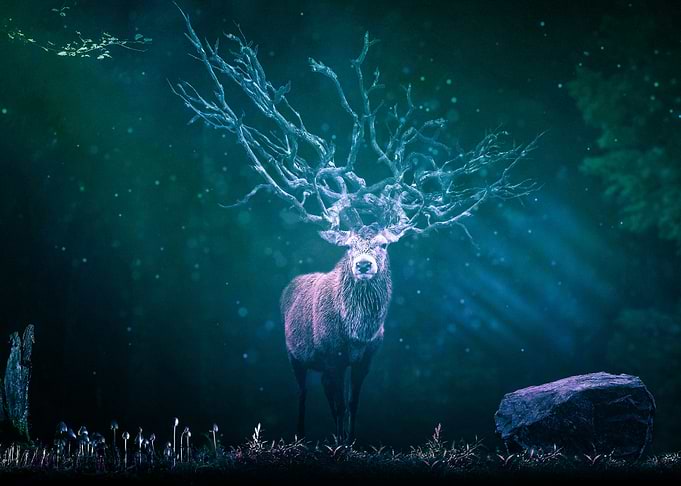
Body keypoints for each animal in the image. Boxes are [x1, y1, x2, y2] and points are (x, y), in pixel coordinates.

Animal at [173, 8, 537, 441]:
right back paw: (298, 434)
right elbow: (334, 406)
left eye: (383, 244)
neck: (357, 331)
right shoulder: (330, 357)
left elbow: (353, 404)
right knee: (301, 393)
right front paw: (337, 443)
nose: (364, 264)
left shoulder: (365, 358)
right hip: (293, 354)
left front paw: (351, 440)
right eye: (348, 246)